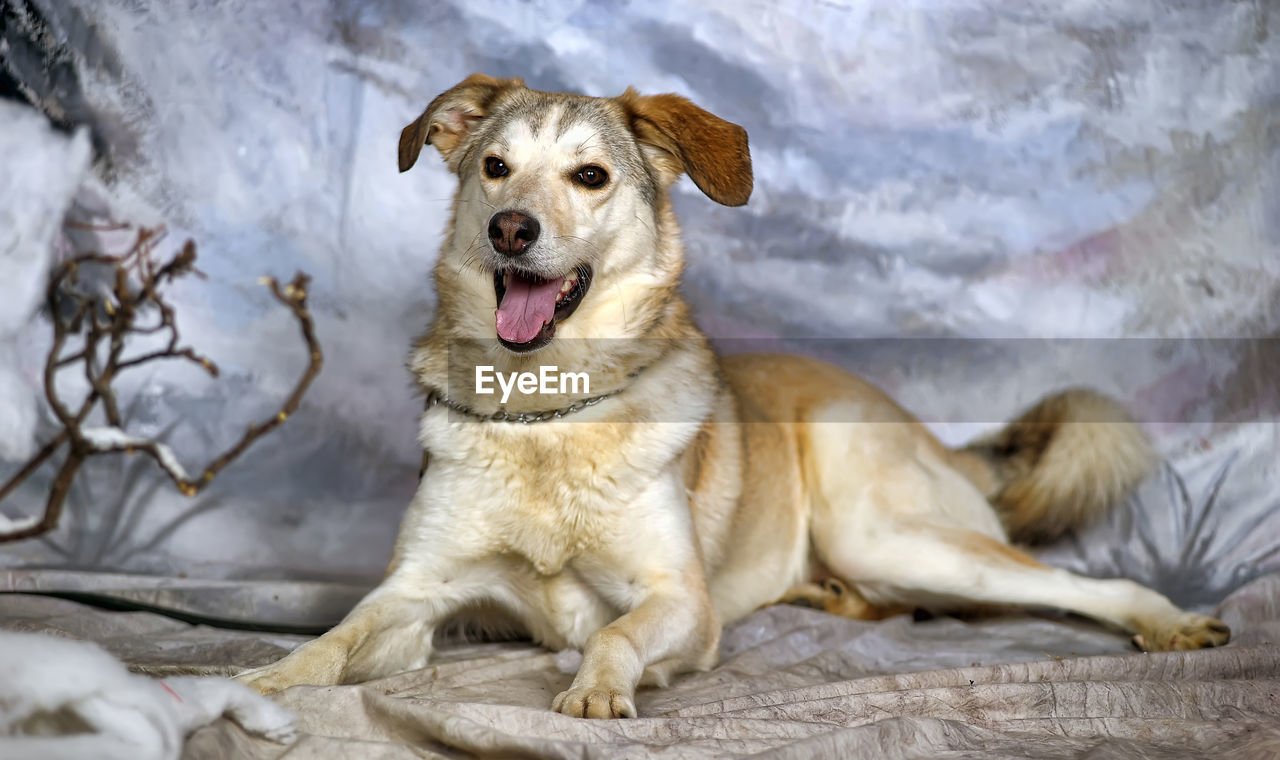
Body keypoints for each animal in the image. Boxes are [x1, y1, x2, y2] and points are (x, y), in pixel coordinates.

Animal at [235, 75, 1223, 716]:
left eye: (590, 176)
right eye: (495, 167)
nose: (510, 229)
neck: (549, 411)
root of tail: (936, 438)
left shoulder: (682, 600)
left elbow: (614, 634)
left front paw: (598, 687)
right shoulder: (417, 594)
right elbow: (339, 638)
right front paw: (264, 682)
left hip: (887, 530)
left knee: (1074, 582)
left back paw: (1169, 623)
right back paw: (829, 598)